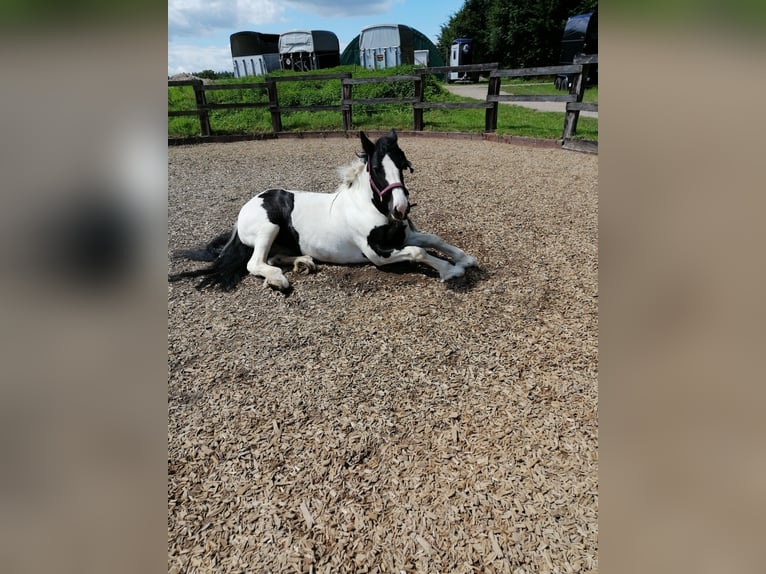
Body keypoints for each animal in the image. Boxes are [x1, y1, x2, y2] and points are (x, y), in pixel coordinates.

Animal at [171, 130, 476, 292]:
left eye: (403, 165)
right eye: (377, 169)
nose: (400, 209)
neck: (368, 206)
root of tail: (245, 209)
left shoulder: (402, 236)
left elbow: (433, 239)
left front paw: (466, 259)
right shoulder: (378, 254)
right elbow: (419, 252)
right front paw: (451, 271)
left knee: (274, 256)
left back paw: (303, 262)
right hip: (269, 227)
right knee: (254, 263)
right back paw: (279, 279)